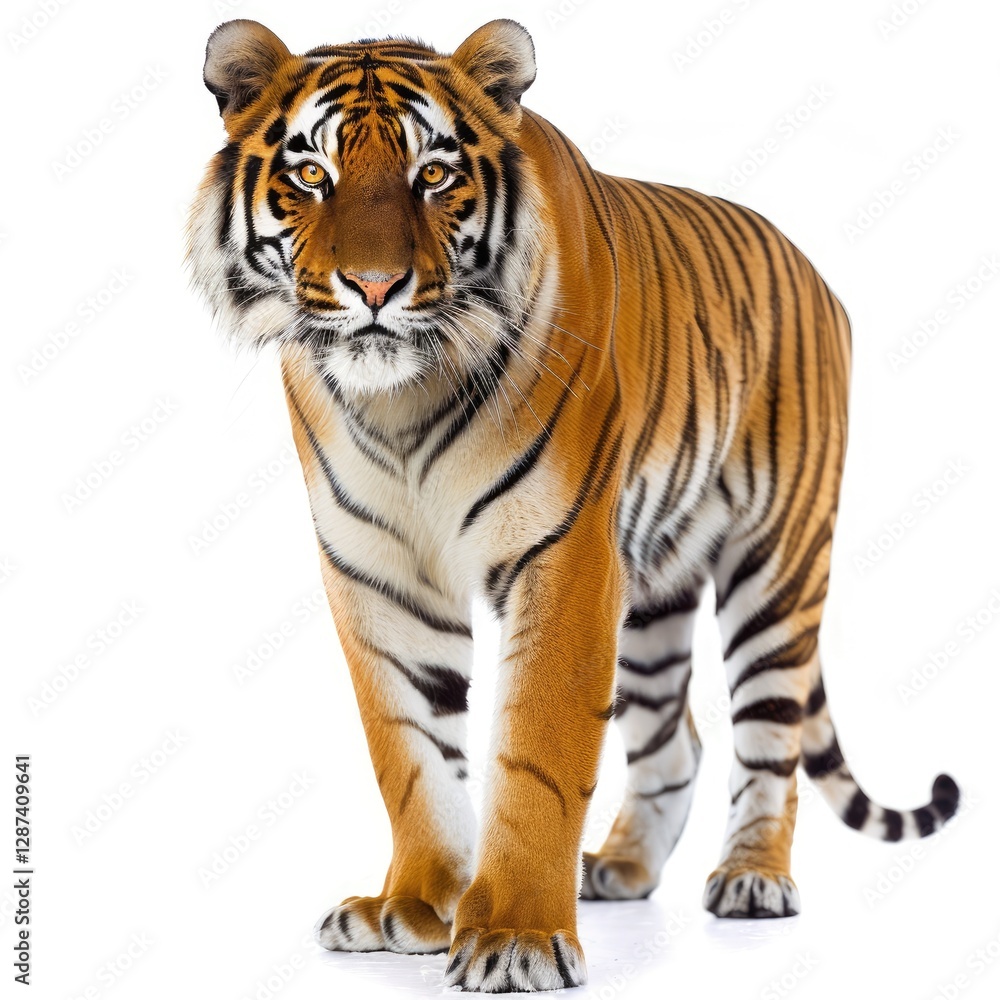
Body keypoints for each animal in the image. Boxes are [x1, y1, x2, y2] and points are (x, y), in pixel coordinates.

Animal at [187, 17, 961, 993]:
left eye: (431, 174)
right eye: (312, 175)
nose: (373, 287)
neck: (403, 404)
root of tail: (815, 272)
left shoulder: (561, 556)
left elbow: (538, 755)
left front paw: (514, 935)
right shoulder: (377, 572)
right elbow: (409, 748)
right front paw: (415, 906)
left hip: (777, 564)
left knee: (769, 735)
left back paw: (752, 878)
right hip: (652, 592)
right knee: (678, 742)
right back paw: (620, 868)